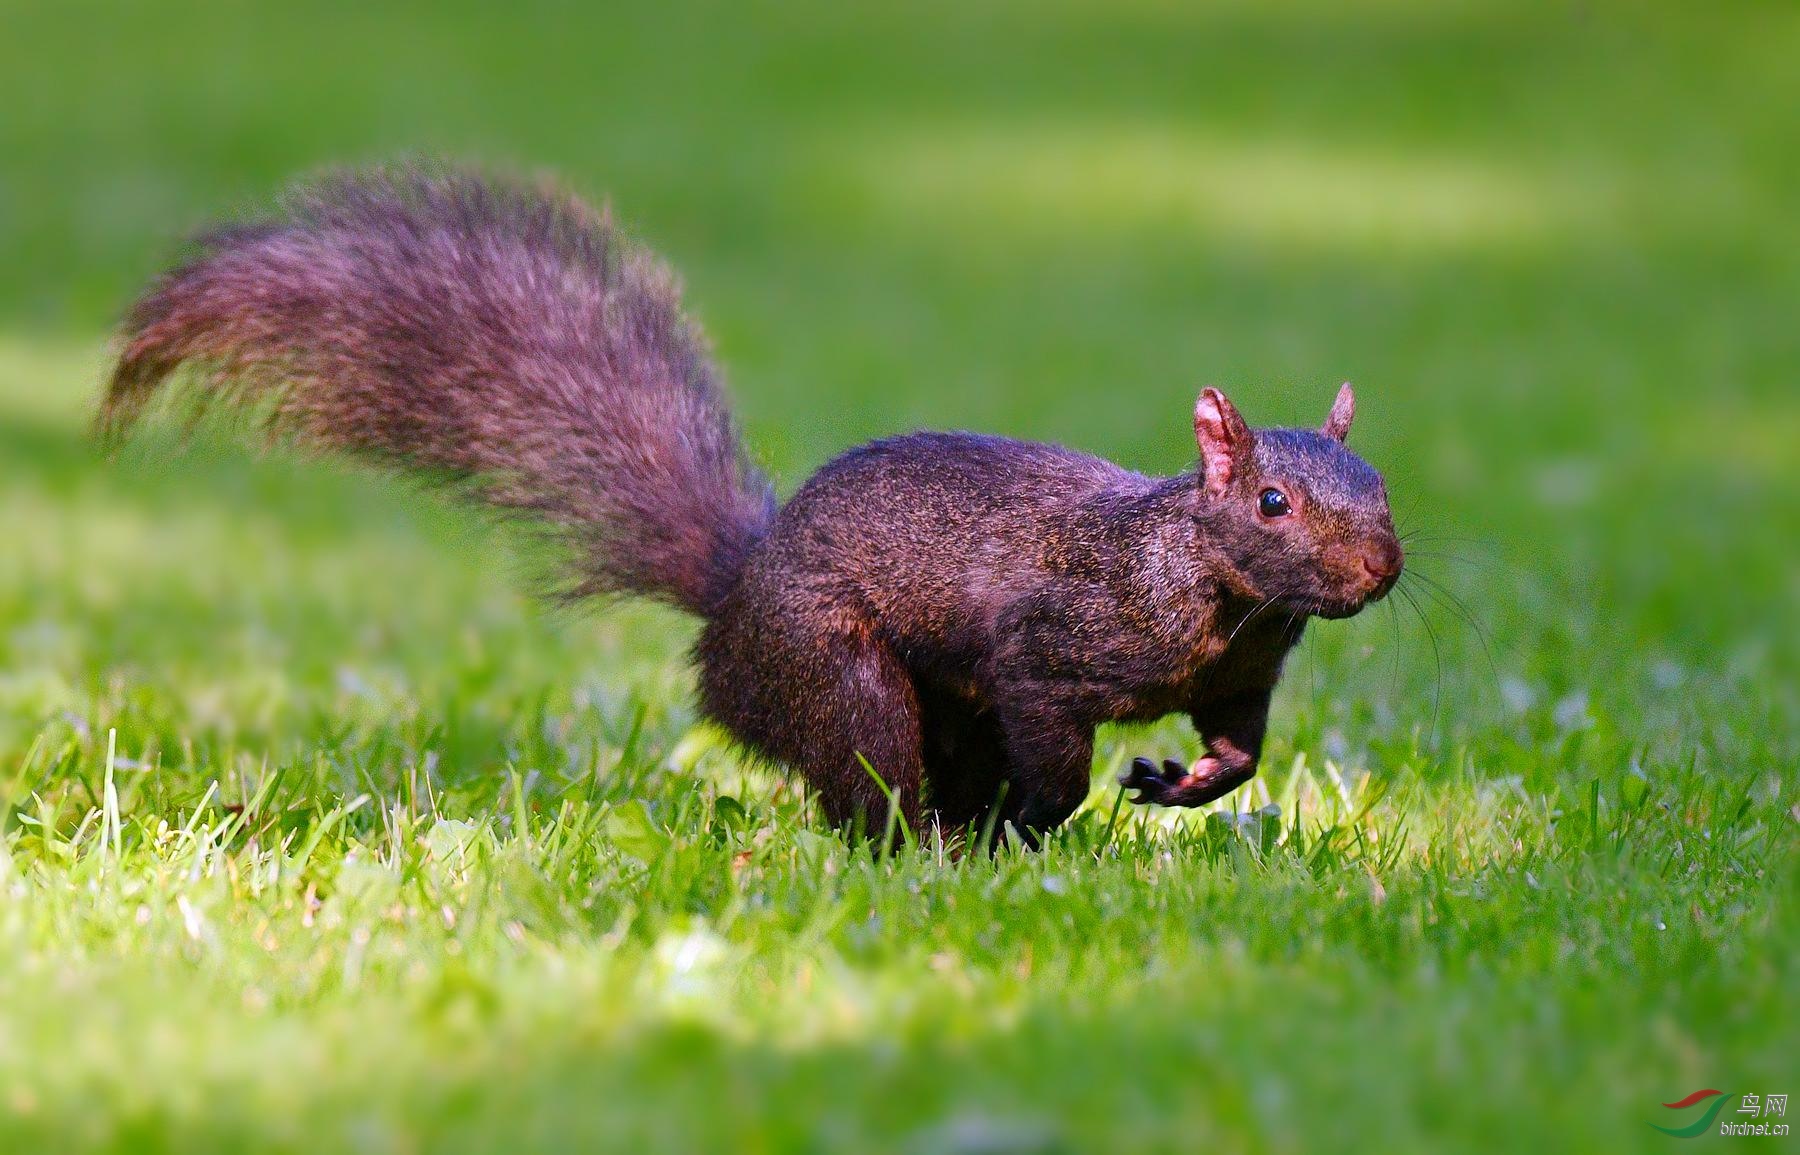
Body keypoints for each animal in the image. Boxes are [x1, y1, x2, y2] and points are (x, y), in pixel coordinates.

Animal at [102, 166, 1404, 841]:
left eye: (1384, 487)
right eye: (1274, 501)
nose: (1381, 572)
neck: (1210, 591)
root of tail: (732, 601)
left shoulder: (1241, 675)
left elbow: (1239, 751)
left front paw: (1180, 783)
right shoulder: (1062, 638)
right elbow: (1049, 727)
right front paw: (1058, 813)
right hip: (835, 672)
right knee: (866, 778)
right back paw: (936, 842)